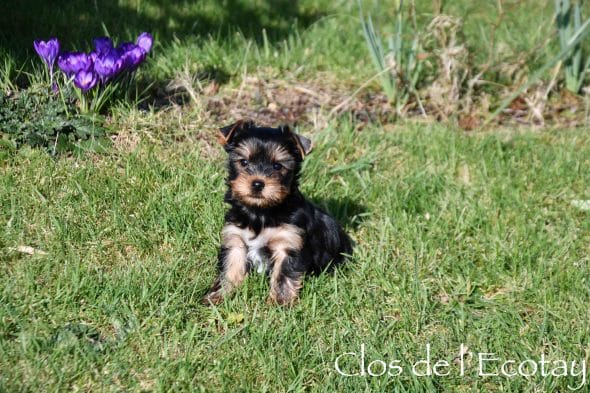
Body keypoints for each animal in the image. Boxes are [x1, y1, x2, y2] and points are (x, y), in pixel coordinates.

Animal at [205, 121, 352, 304]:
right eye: (244, 162)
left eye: (277, 166)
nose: (258, 183)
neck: (260, 212)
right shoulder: (236, 239)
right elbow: (230, 269)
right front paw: (218, 296)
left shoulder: (288, 243)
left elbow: (283, 275)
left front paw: (278, 303)